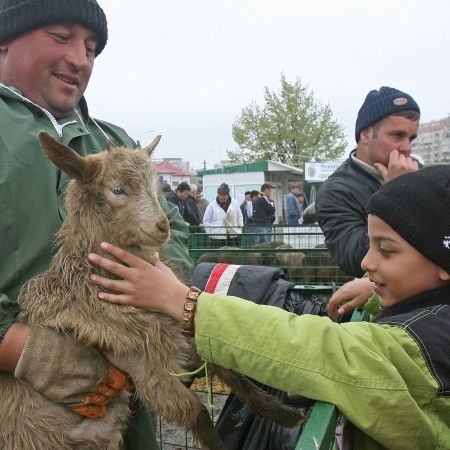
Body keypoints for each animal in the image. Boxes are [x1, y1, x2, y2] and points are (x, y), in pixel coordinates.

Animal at [0, 133, 306, 450]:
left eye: (154, 185)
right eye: (117, 189)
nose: (162, 226)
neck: (91, 283)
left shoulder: (179, 334)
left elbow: (230, 371)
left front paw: (287, 415)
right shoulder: (144, 368)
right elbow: (197, 414)